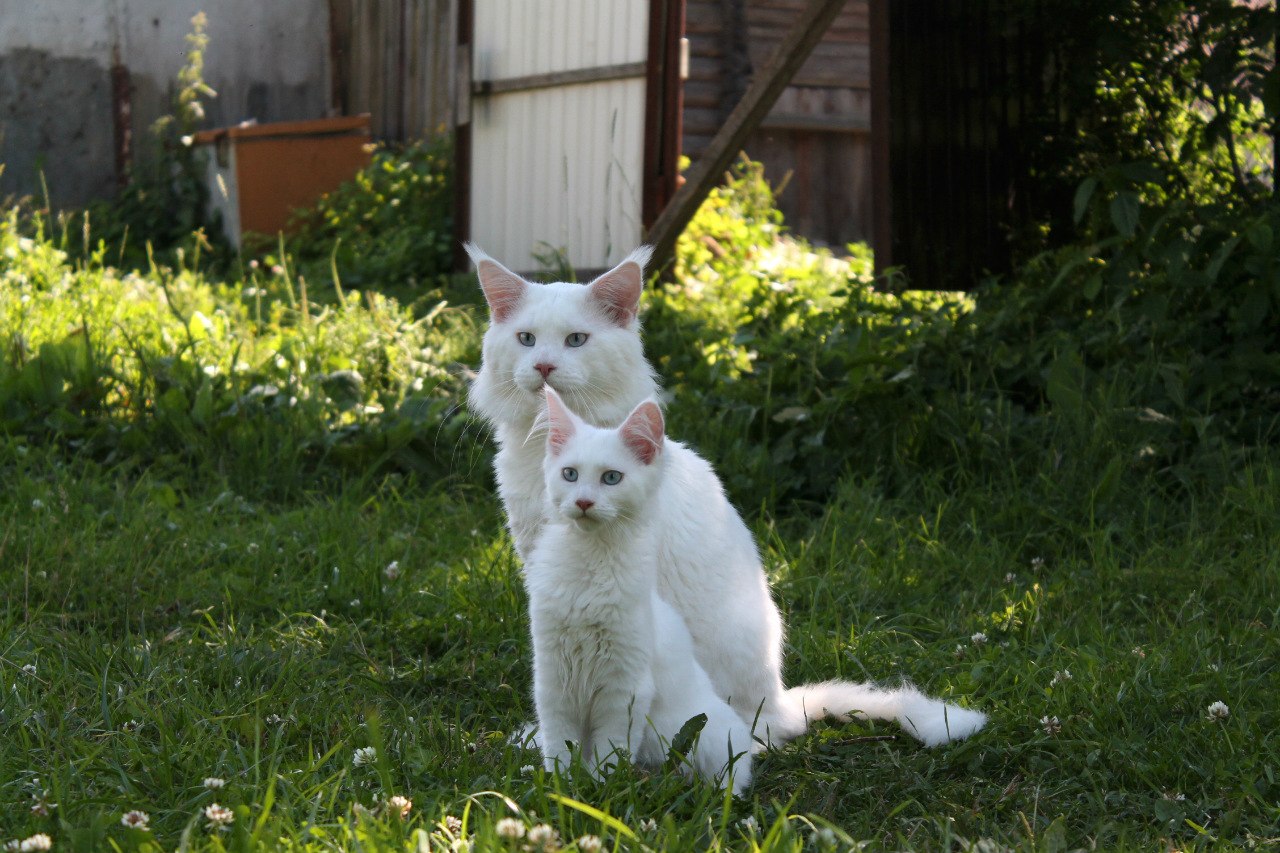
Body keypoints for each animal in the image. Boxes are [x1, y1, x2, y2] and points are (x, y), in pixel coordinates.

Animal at [527, 384, 752, 788]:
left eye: (611, 479)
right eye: (570, 474)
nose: (583, 501)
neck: (589, 566)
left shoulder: (624, 687)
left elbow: (610, 749)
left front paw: (599, 786)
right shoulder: (553, 677)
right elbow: (559, 744)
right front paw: (560, 785)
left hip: (712, 734)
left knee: (730, 778)